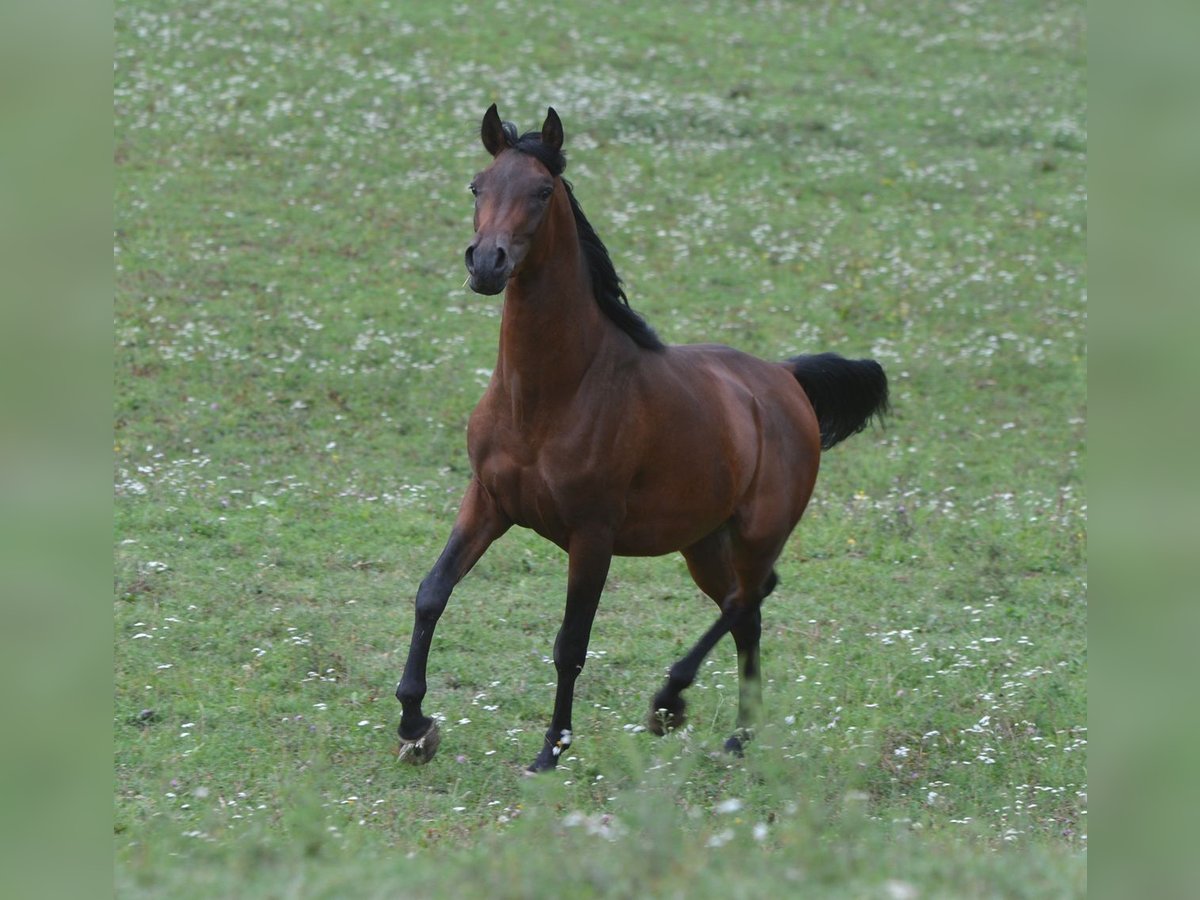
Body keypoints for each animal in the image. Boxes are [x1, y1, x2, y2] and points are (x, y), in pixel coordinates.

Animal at [395, 105, 889, 772]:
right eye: (478, 185)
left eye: (542, 191)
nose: (487, 264)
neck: (551, 395)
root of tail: (785, 379)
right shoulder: (488, 503)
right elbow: (432, 593)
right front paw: (415, 725)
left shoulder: (592, 534)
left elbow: (571, 642)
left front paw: (550, 751)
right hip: (703, 542)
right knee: (746, 610)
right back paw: (739, 734)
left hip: (758, 532)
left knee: (749, 597)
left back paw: (670, 702)